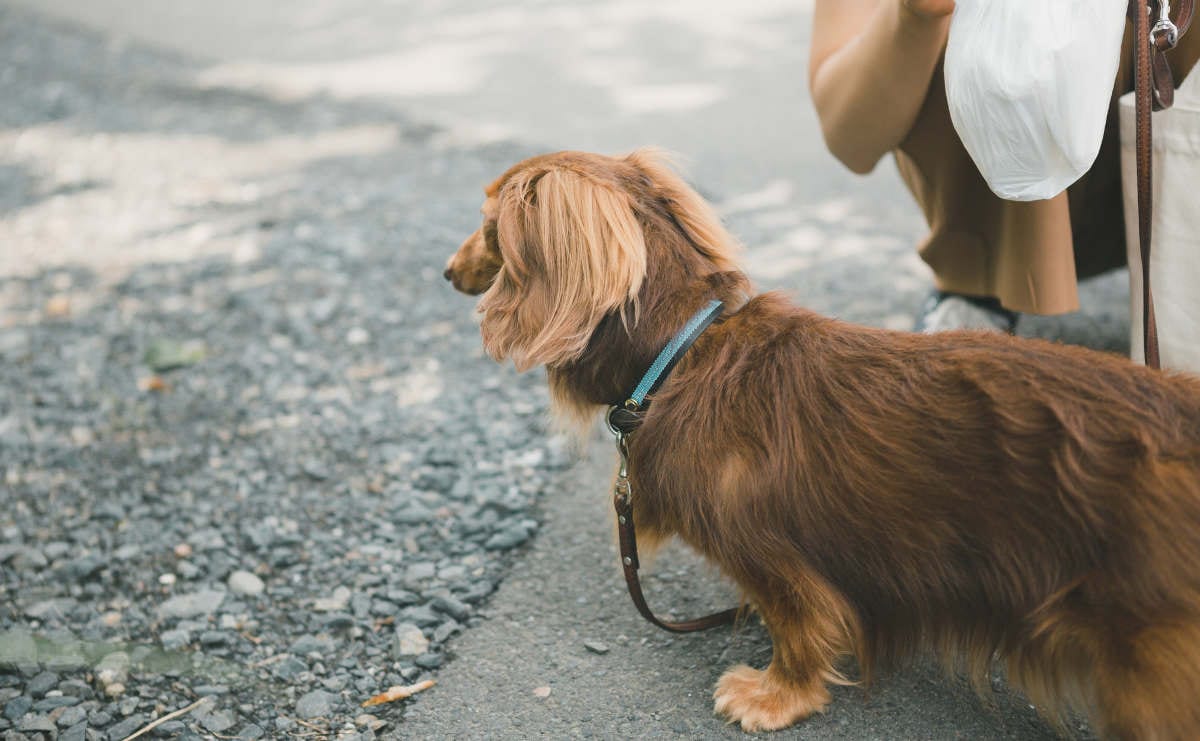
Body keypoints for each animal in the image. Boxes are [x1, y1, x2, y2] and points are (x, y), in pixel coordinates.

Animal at [441, 148, 1200, 733]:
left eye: (489, 224)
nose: (446, 272)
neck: (684, 353)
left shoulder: (773, 557)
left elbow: (800, 626)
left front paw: (773, 696)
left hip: (1147, 665)